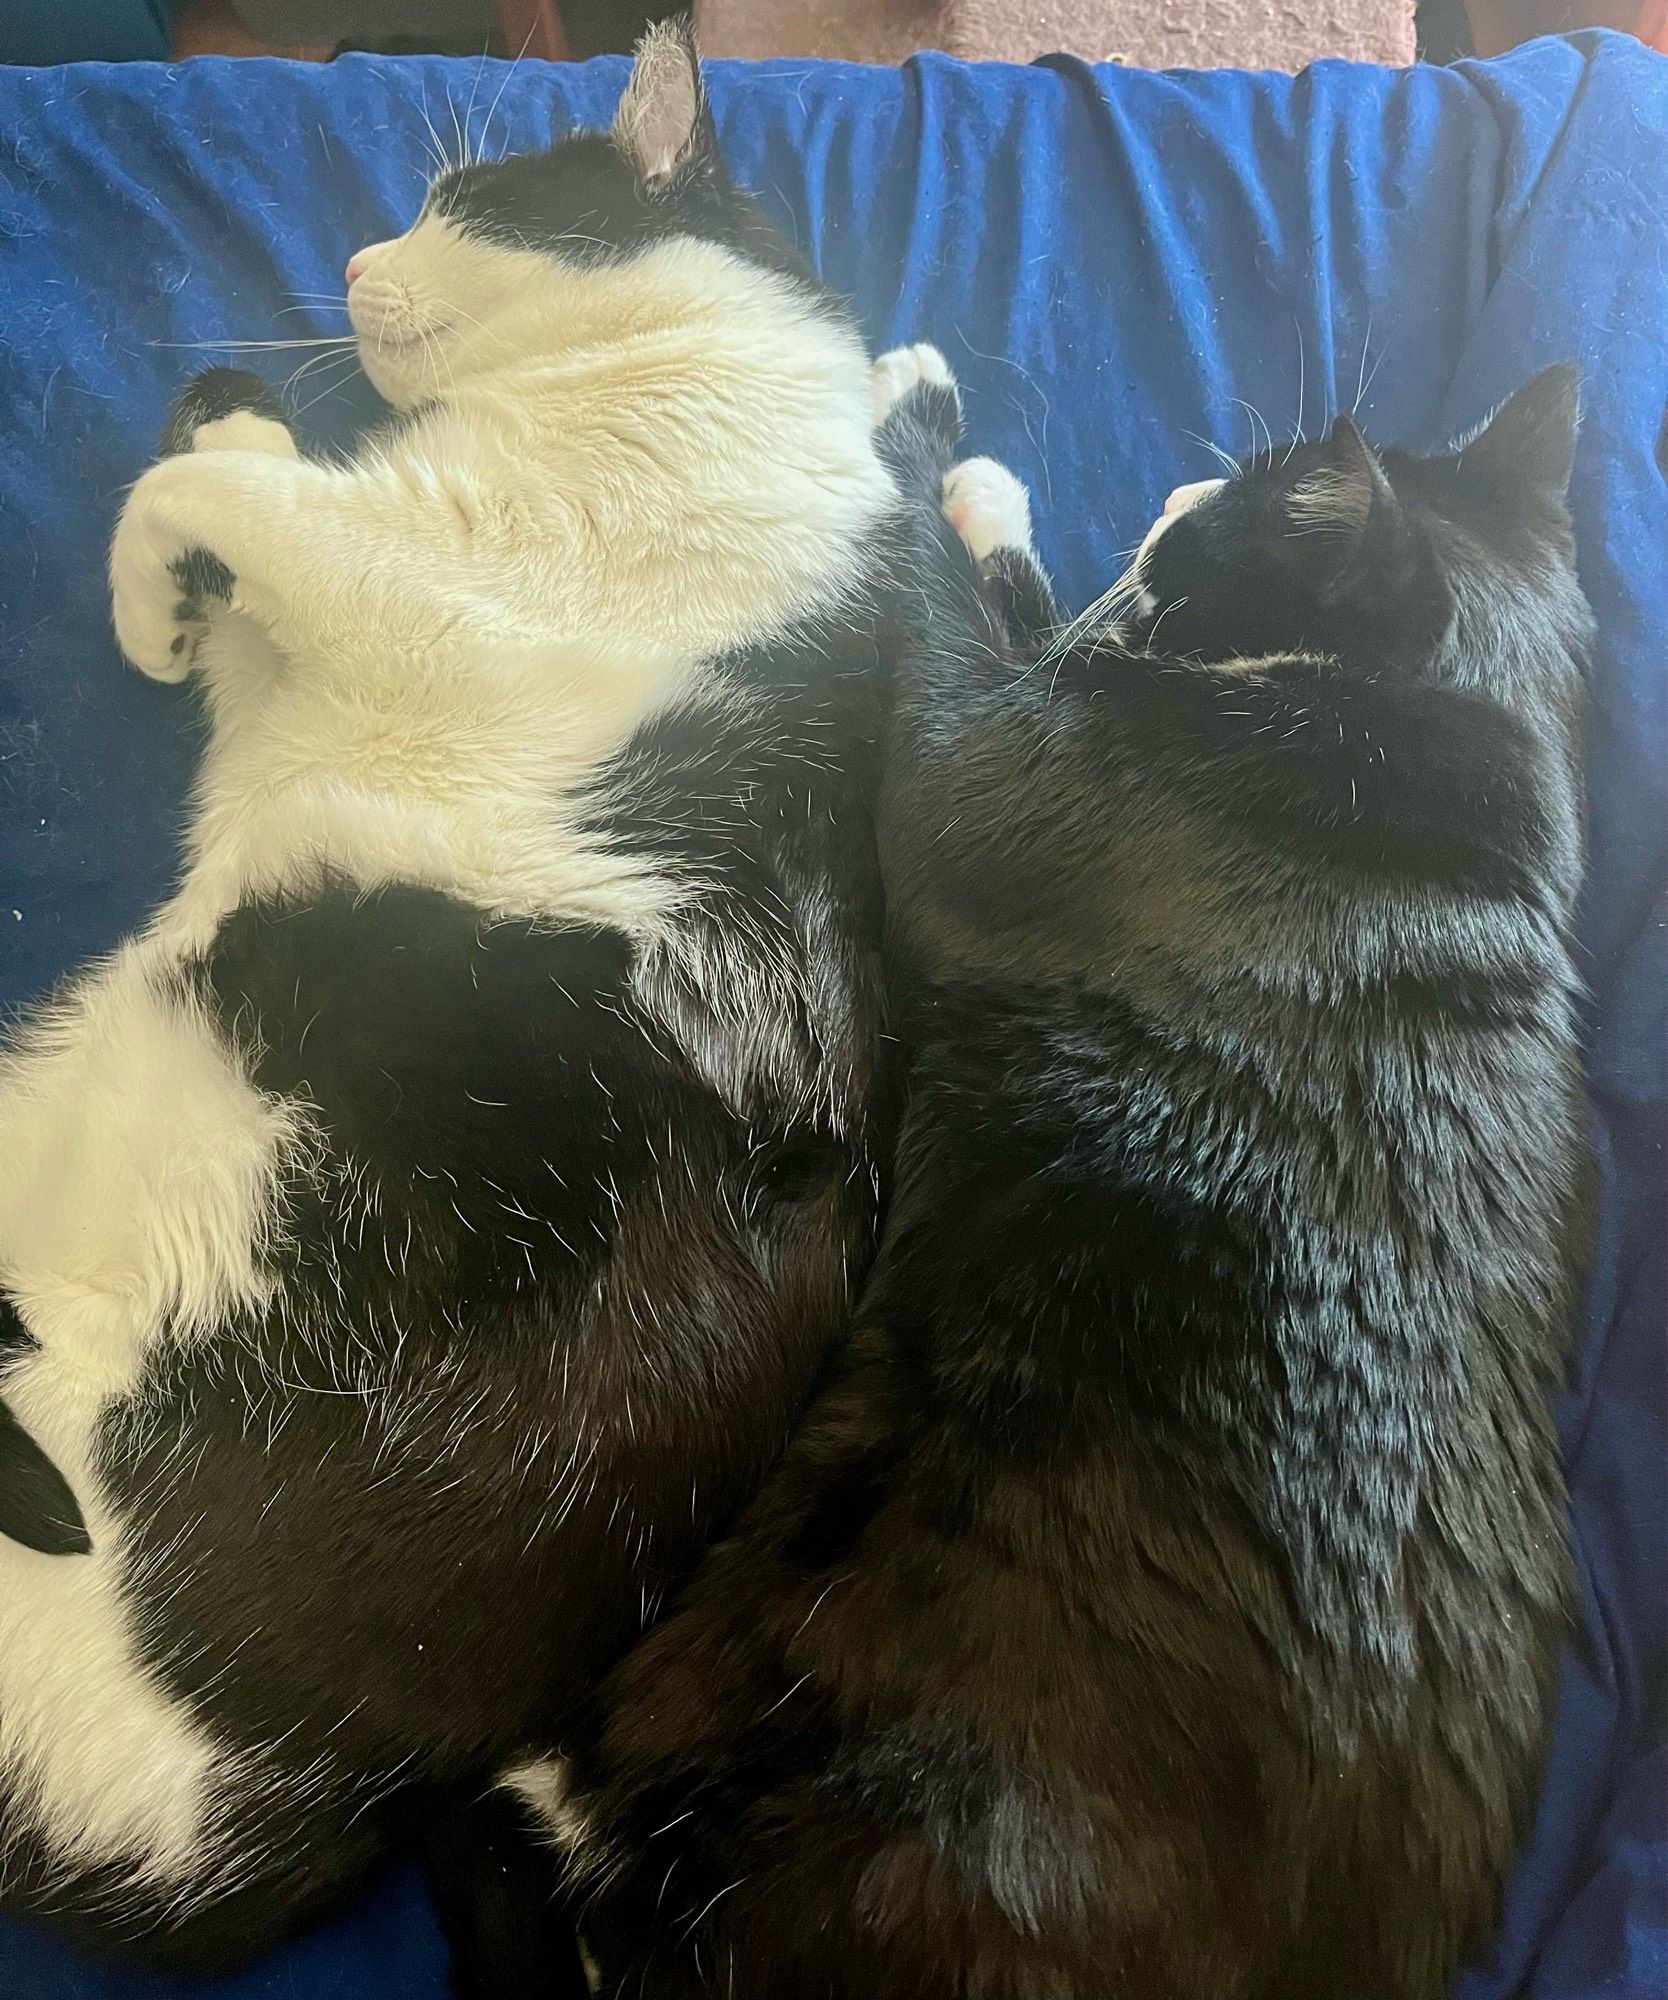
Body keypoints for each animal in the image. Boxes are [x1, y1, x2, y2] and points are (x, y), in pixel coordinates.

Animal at [0, 23, 912, 1976]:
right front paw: (206, 511)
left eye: (456, 199)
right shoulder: (308, 686)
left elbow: (213, 497)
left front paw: (146, 584)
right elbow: (240, 502)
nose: (350, 261)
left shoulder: (423, 586)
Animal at [552, 356, 1592, 2000]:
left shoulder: (972, 782)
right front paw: (989, 492)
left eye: (1215, 538)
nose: (1173, 497)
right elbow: (1010, 618)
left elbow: (934, 603)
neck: (1425, 755)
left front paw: (916, 430)